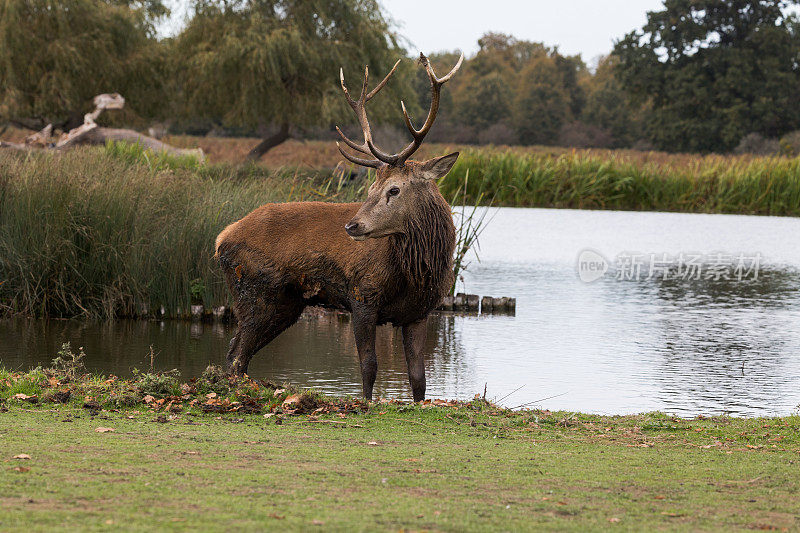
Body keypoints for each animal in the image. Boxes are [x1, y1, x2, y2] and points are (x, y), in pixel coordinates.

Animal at [214, 53, 462, 400]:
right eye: (370, 188)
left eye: (394, 189)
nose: (352, 225)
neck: (416, 272)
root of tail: (220, 240)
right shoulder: (362, 296)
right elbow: (368, 367)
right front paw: (366, 403)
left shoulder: (420, 312)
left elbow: (418, 378)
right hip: (255, 292)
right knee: (236, 355)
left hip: (285, 304)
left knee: (238, 353)